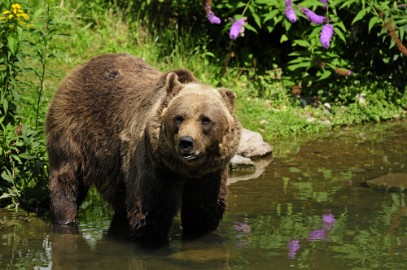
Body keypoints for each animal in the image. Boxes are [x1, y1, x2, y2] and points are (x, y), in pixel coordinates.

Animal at [45, 53, 241, 244]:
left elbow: (203, 210)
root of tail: (81, 67)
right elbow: (152, 210)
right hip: (72, 129)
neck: (185, 169)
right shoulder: (155, 163)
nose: (186, 142)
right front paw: (152, 238)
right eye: (179, 117)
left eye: (205, 119)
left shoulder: (210, 173)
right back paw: (65, 218)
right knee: (68, 178)